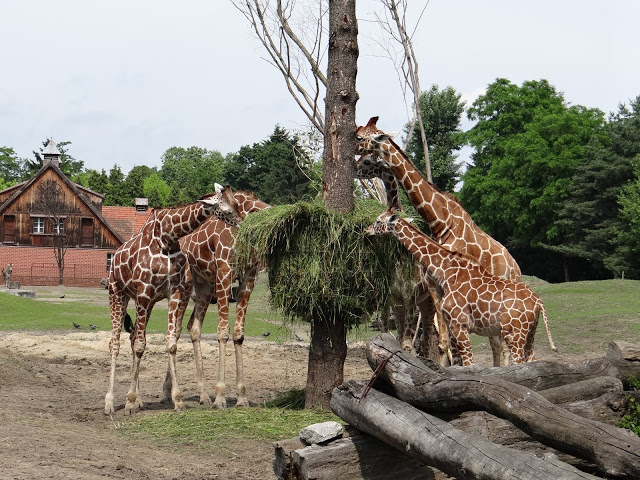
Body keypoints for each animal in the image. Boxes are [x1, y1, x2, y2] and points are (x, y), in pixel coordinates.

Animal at [104, 184, 240, 415]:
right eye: (227, 210)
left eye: (236, 205)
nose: (241, 224)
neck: (167, 237)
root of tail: (113, 261)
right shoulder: (144, 291)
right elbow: (141, 345)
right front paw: (129, 402)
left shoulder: (172, 292)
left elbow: (171, 344)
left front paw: (178, 400)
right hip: (118, 294)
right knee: (115, 343)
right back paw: (110, 403)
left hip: (146, 302)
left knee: (131, 336)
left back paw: (139, 400)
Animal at [175, 190, 270, 408]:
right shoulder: (225, 272)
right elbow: (223, 333)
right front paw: (220, 397)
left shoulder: (249, 276)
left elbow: (238, 333)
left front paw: (242, 397)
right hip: (184, 288)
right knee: (175, 331)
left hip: (204, 287)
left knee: (193, 327)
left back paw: (203, 395)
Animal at [356, 116, 521, 366]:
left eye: (363, 142)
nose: (353, 165)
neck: (442, 222)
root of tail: (516, 268)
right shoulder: (427, 290)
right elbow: (440, 341)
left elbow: (447, 340)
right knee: (495, 341)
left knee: (502, 341)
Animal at [366, 210, 556, 366]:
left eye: (378, 221)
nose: (366, 230)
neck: (447, 273)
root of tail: (538, 302)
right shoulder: (452, 324)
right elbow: (458, 362)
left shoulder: (459, 324)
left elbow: (469, 363)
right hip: (529, 333)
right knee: (532, 360)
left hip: (514, 333)